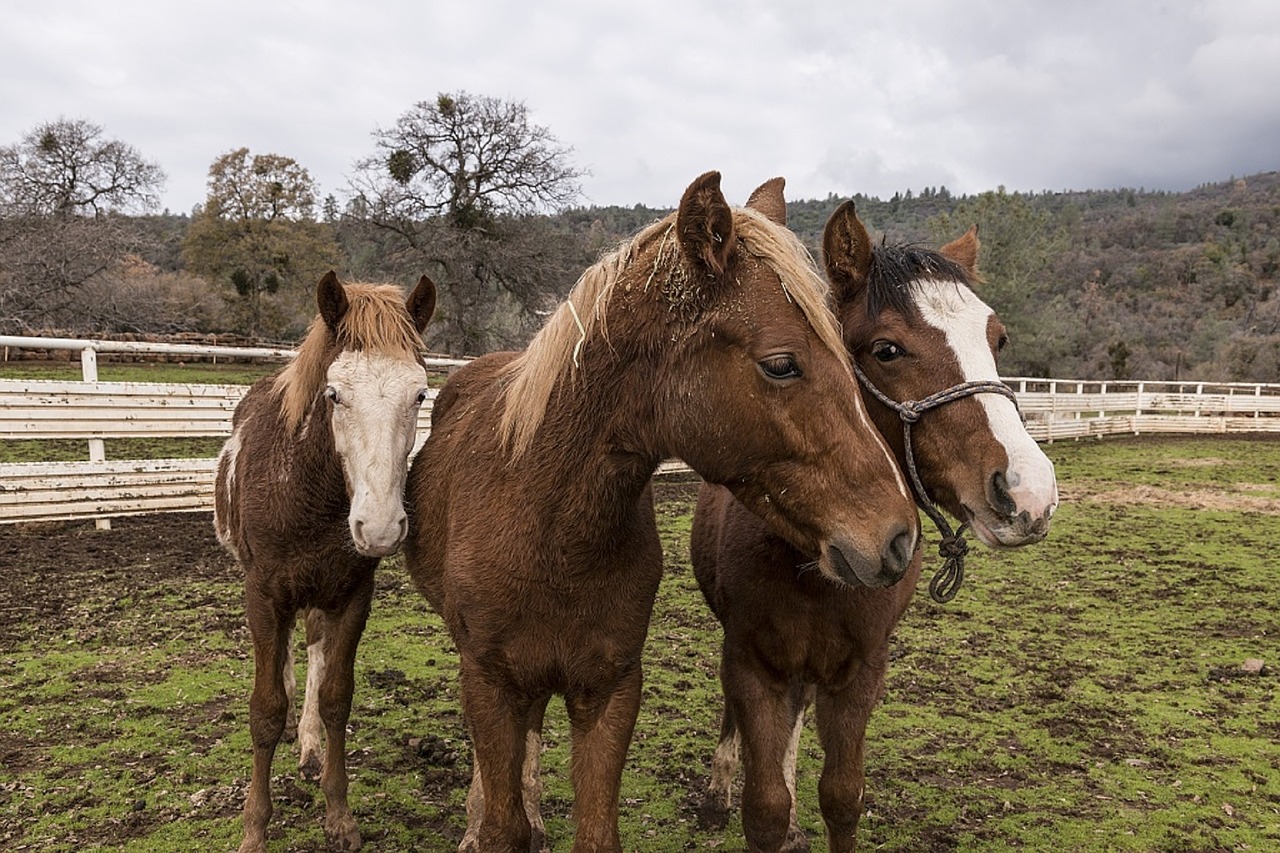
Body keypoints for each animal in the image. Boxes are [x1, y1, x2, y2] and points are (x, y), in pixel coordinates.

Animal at [217, 274, 437, 850]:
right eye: (334, 394)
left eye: (419, 394)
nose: (379, 527)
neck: (308, 493)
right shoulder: (264, 596)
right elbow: (266, 708)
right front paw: (254, 828)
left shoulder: (351, 596)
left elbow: (337, 697)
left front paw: (339, 815)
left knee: (314, 658)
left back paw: (310, 748)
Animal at [404, 172, 916, 850]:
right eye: (781, 364)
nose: (898, 536)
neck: (549, 530)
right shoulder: (489, 683)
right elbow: (502, 823)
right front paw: (491, 820)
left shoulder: (610, 690)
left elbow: (595, 830)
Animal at [691, 204, 1059, 845]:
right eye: (887, 350)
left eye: (998, 339)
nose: (1028, 492)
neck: (813, 559)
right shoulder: (753, 661)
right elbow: (763, 806)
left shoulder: (860, 670)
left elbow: (841, 798)